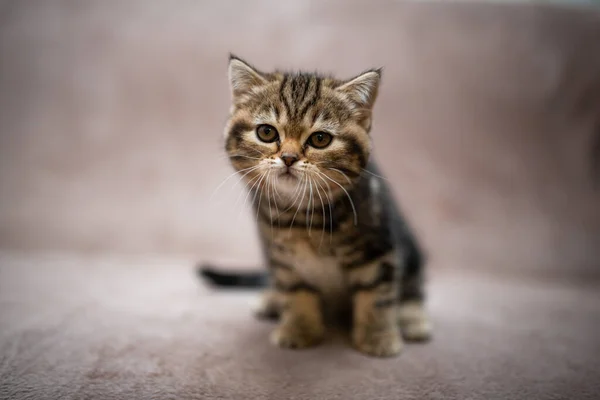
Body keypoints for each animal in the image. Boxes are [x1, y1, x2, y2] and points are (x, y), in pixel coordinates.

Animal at [203, 55, 432, 356]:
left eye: (320, 139)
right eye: (266, 132)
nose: (288, 158)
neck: (302, 215)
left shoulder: (380, 246)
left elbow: (377, 293)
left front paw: (377, 336)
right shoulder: (282, 257)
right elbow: (296, 290)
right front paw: (299, 329)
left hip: (409, 244)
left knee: (413, 287)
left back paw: (412, 317)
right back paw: (272, 299)